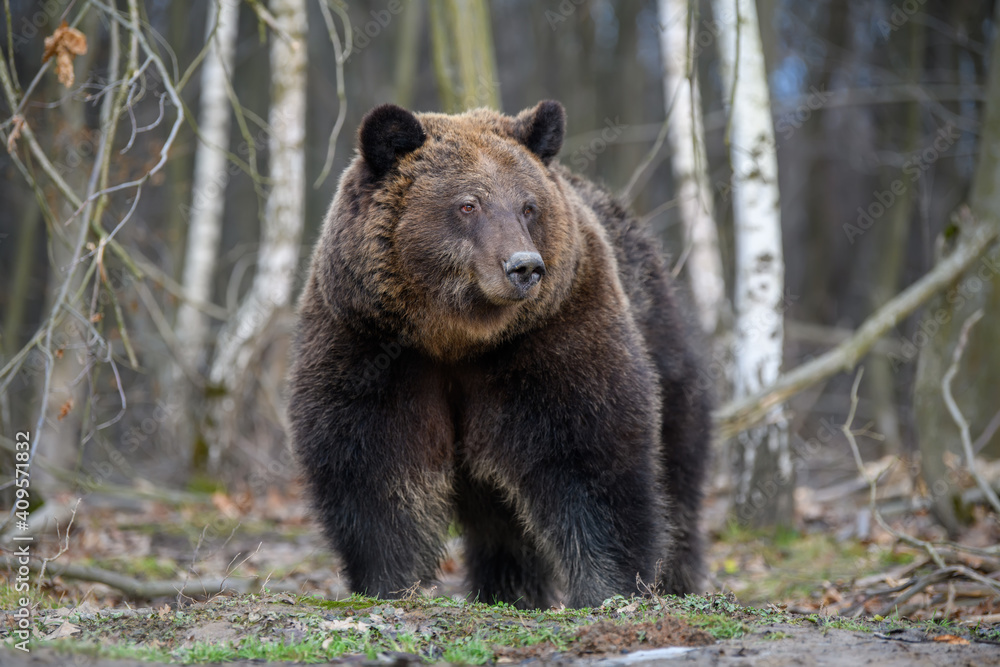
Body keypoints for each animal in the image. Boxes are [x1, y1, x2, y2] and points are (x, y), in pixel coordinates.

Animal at [287, 100, 711, 609]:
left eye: (528, 206)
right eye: (468, 204)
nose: (524, 266)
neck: (457, 337)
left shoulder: (551, 334)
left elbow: (589, 453)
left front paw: (609, 587)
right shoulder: (371, 344)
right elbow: (373, 468)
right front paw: (389, 581)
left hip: (660, 339)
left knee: (676, 473)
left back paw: (674, 578)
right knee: (502, 523)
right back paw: (509, 590)